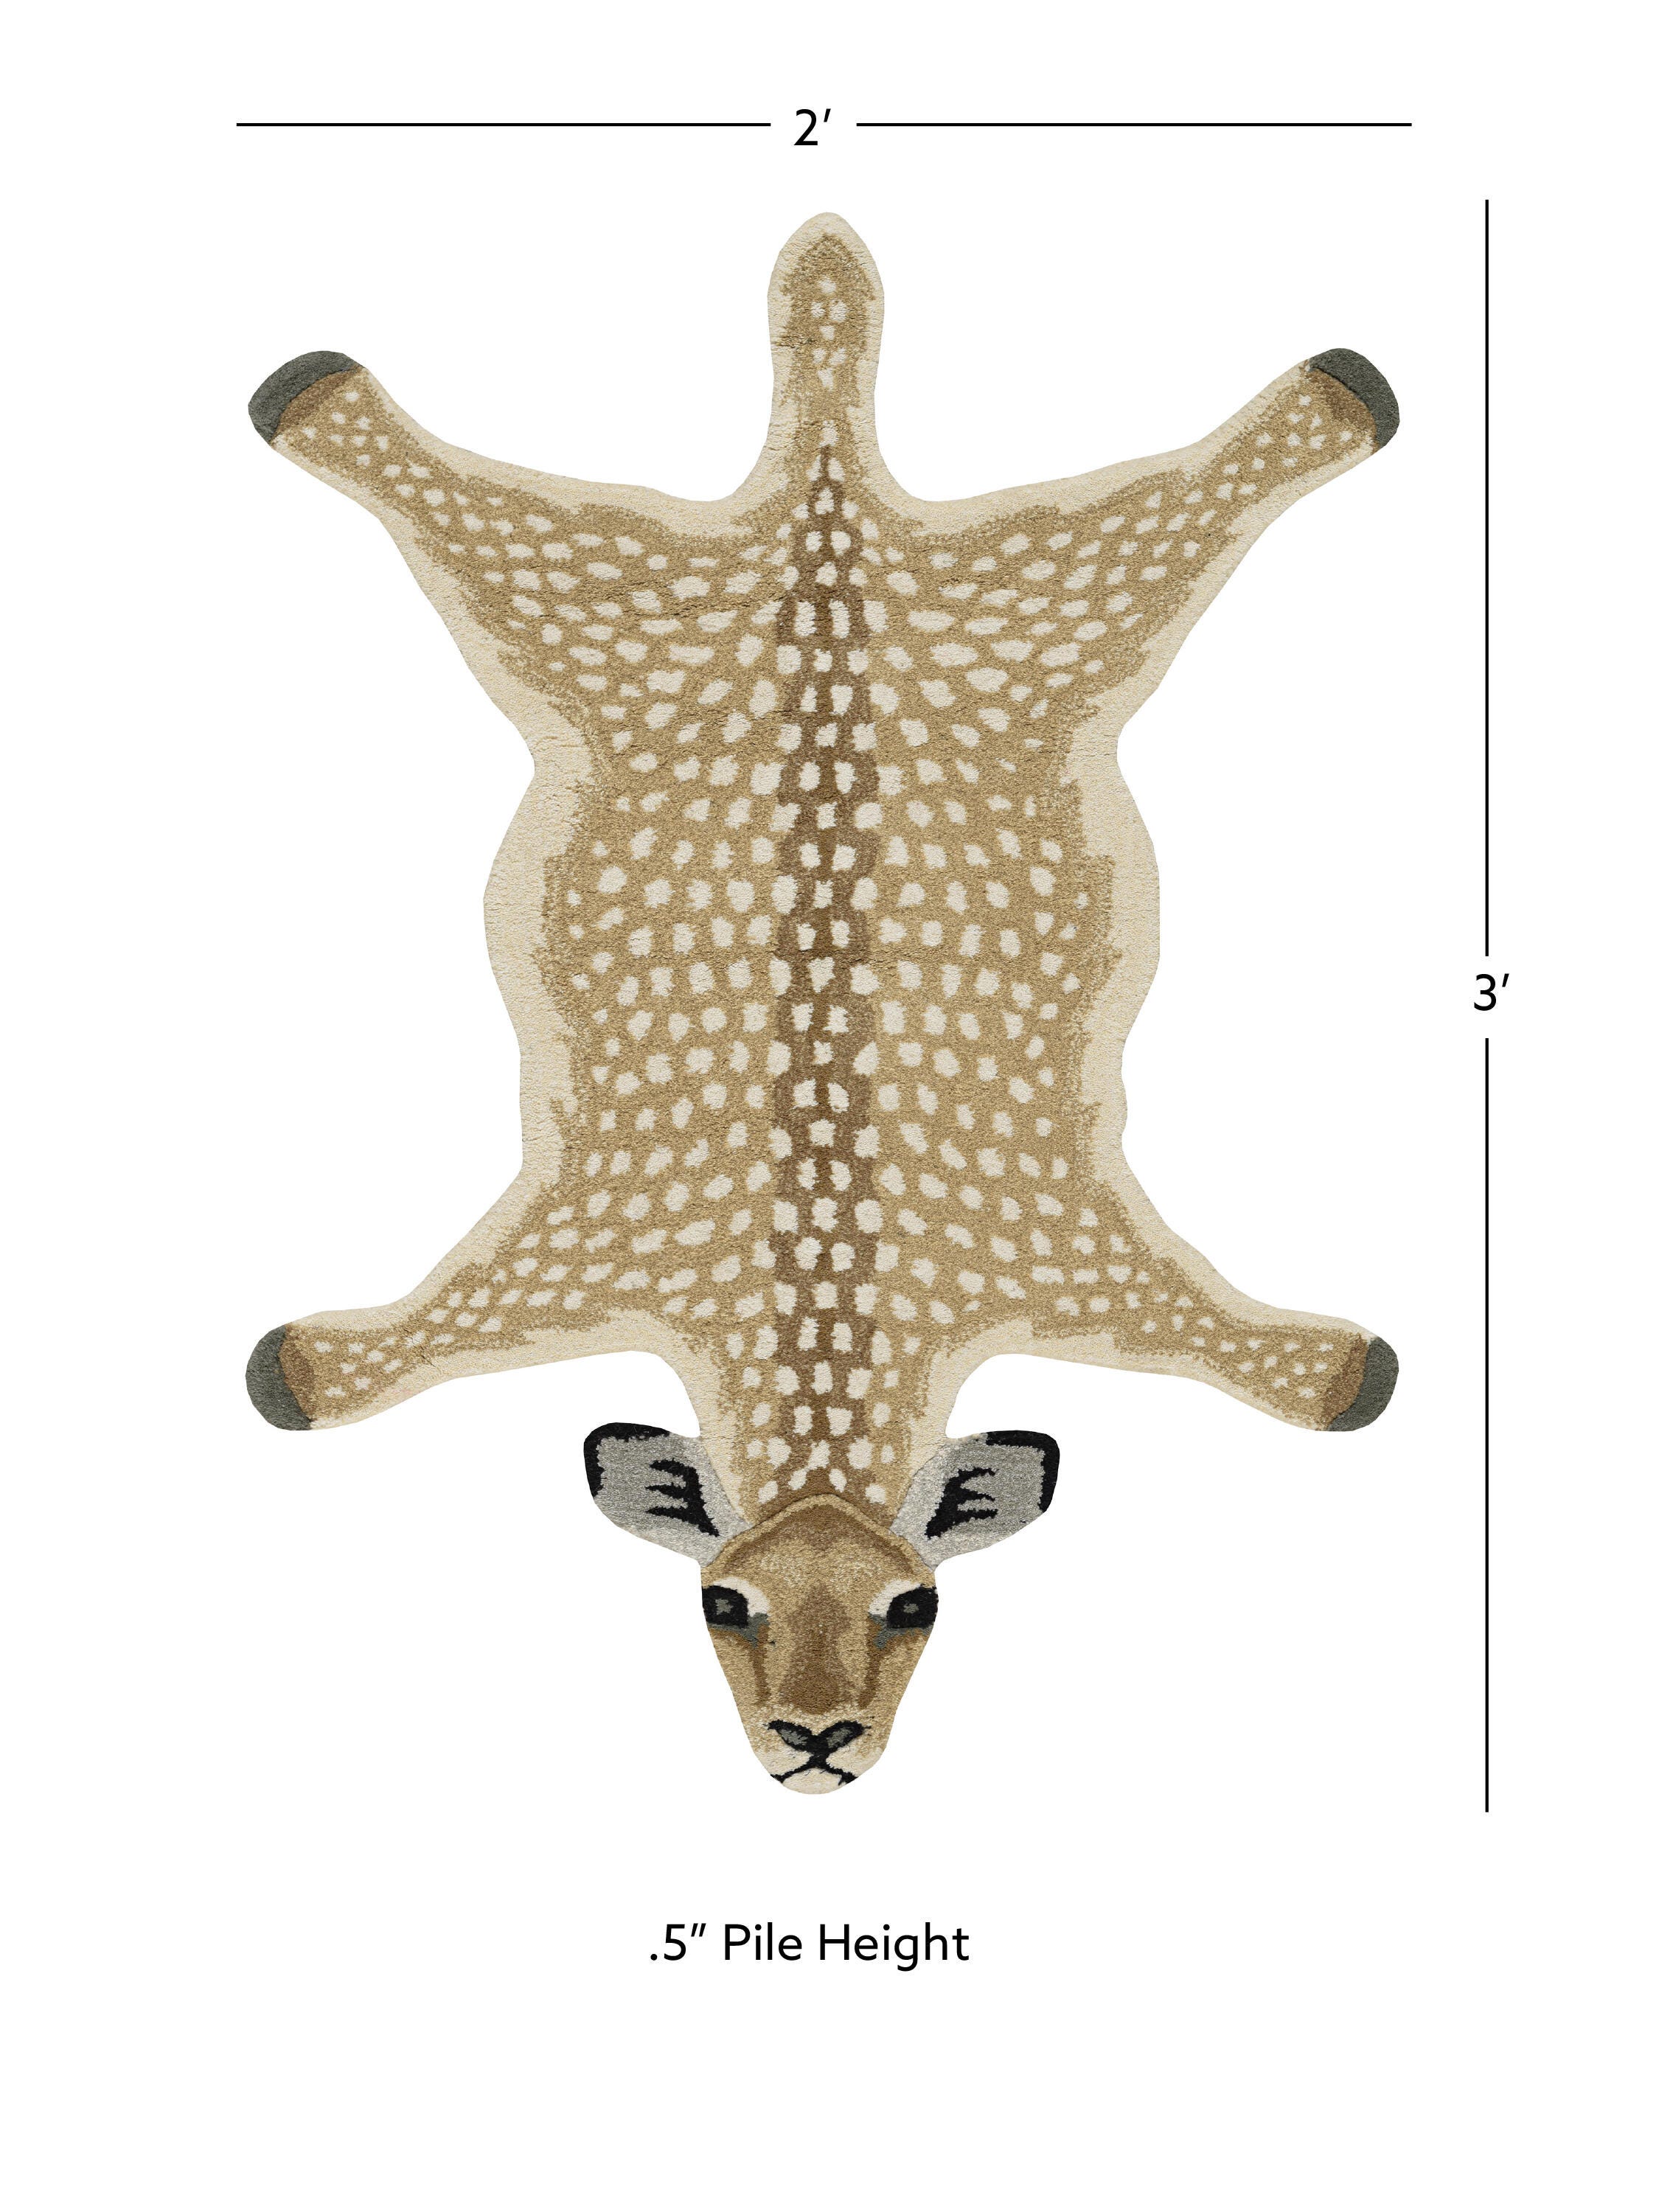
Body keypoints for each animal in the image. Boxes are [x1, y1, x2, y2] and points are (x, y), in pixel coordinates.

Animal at [245, 214, 1398, 1789]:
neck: (820, 1278)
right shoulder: (559, 1253)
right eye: (718, 1601)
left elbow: (1235, 1341)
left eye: (920, 1603)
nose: (817, 1744)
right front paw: (317, 1362)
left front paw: (1327, 1363)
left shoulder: (1086, 1256)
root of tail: (825, 491)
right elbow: (403, 1341)